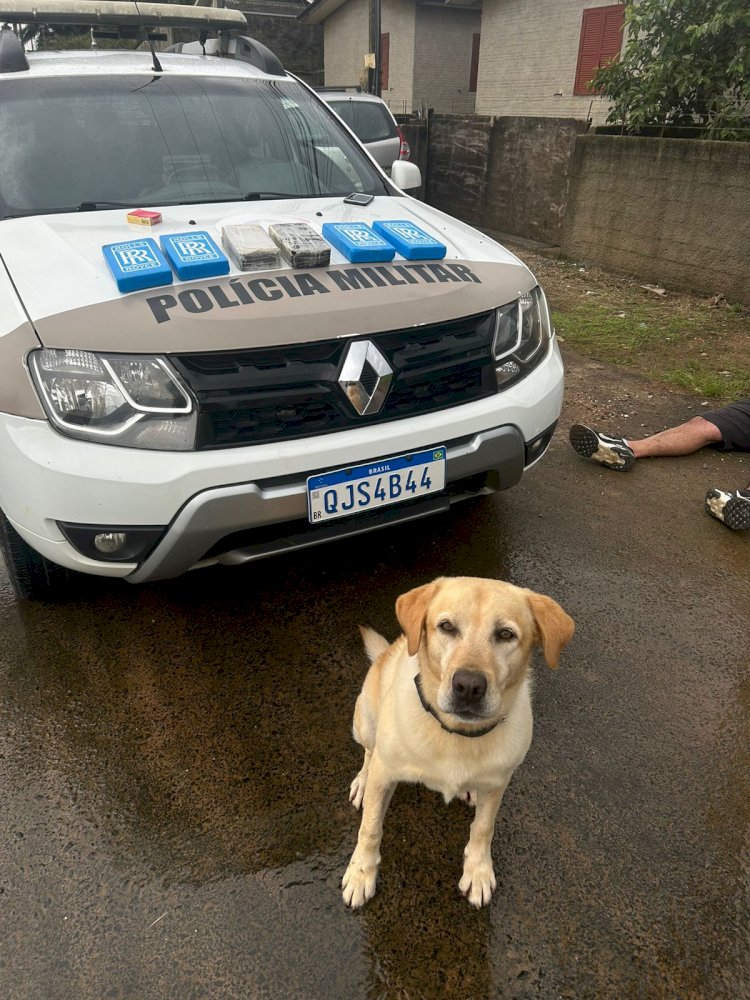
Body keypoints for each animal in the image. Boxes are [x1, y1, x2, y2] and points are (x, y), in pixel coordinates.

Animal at [342, 576, 576, 912]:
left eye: (506, 634)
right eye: (447, 627)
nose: (468, 686)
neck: (458, 735)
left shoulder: (498, 782)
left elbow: (483, 828)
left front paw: (478, 871)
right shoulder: (385, 774)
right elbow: (370, 827)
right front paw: (361, 873)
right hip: (365, 722)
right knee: (368, 753)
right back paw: (362, 779)